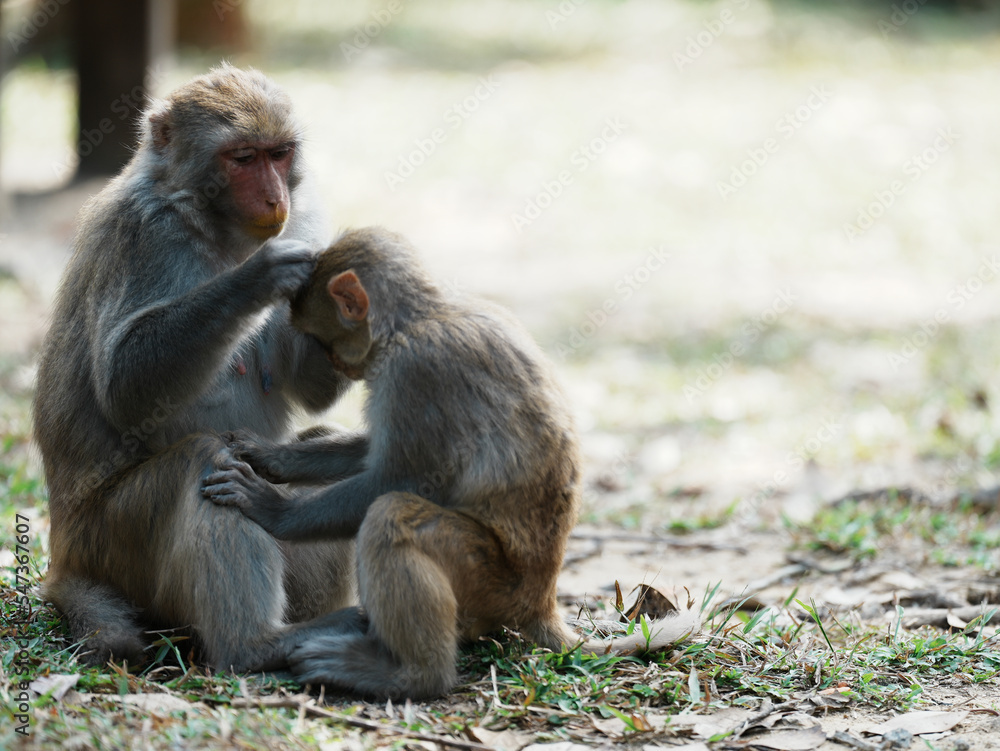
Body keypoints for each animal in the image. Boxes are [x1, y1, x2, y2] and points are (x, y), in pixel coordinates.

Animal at [33, 65, 366, 672]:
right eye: (243, 158)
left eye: (280, 153)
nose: (275, 195)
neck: (215, 225)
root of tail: (64, 554)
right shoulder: (146, 233)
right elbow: (125, 385)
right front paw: (258, 276)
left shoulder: (303, 218)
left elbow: (308, 389)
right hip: (112, 543)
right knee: (200, 462)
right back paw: (257, 644)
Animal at [202, 227, 700, 699]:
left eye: (322, 340)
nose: (339, 366)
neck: (419, 317)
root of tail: (542, 599)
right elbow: (375, 453)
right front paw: (272, 457)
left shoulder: (416, 370)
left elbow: (398, 478)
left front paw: (273, 508)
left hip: (488, 583)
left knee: (391, 516)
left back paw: (413, 677)